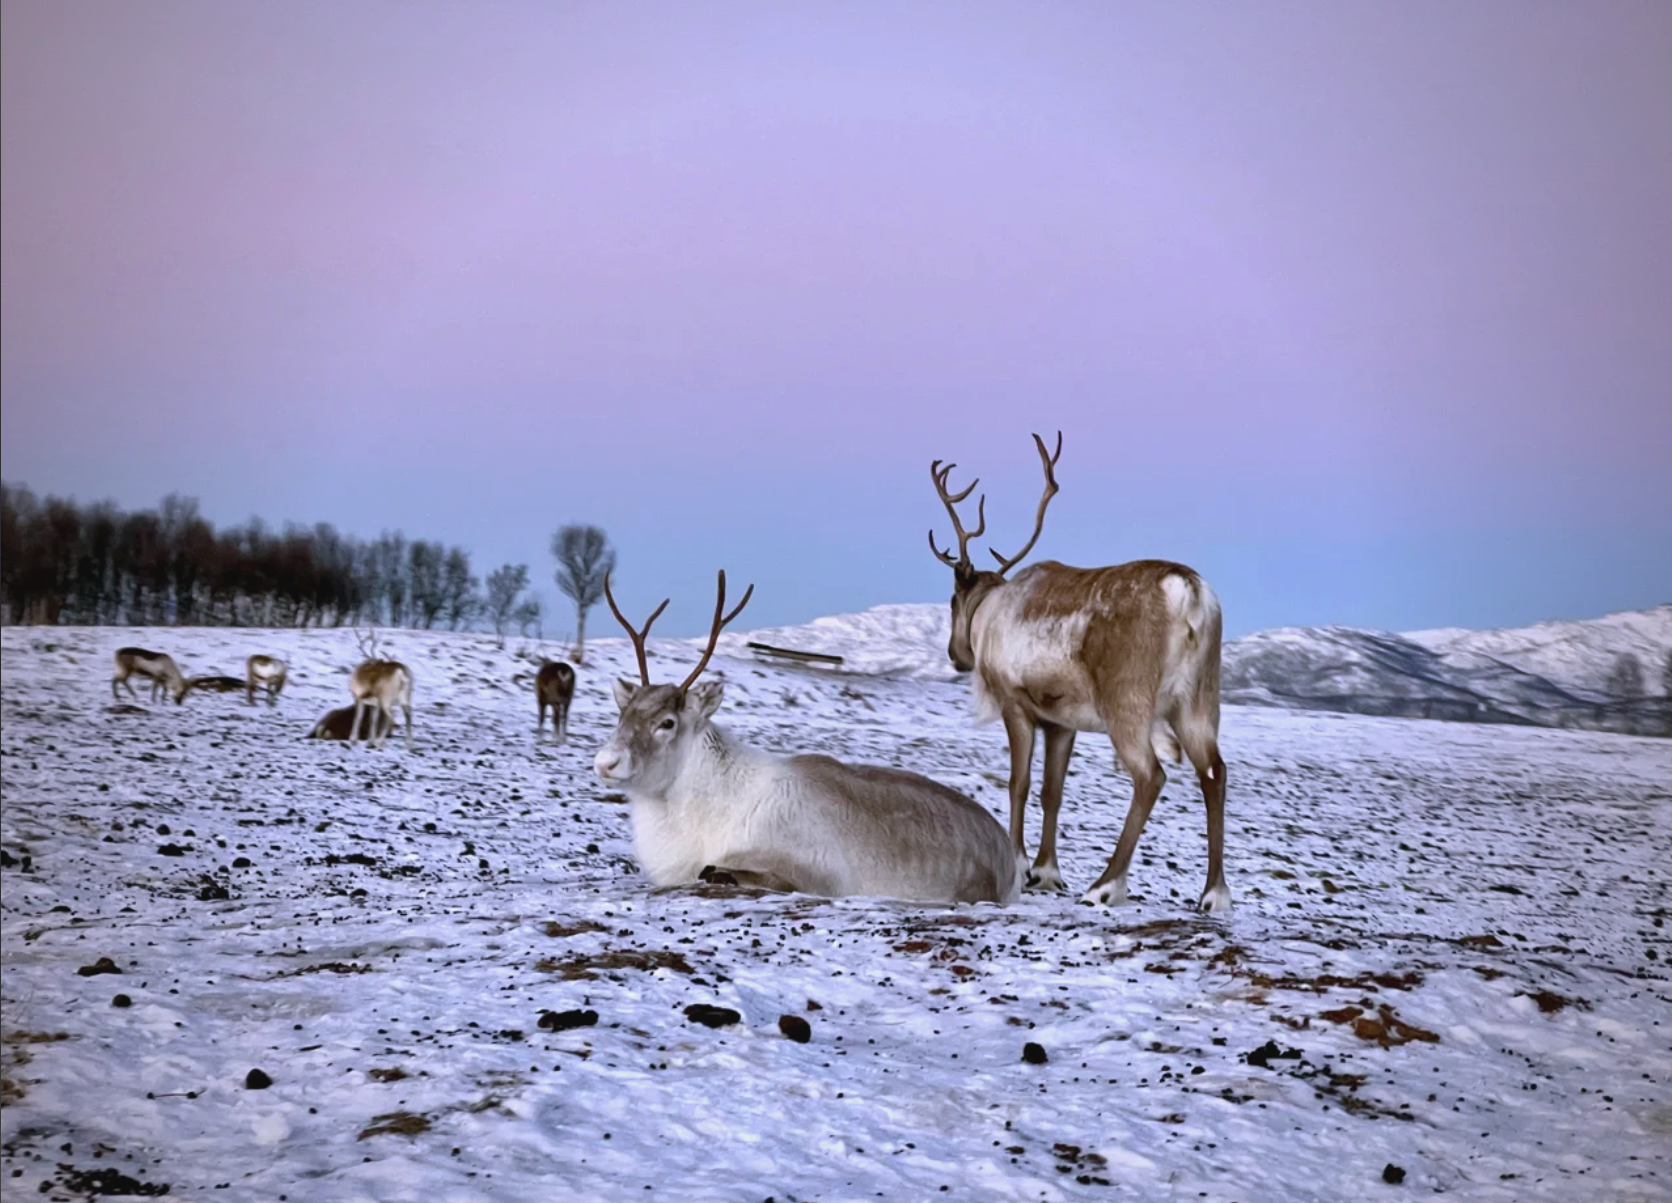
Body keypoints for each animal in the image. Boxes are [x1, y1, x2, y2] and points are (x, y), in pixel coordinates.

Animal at [595, 569, 1019, 905]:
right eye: (624, 712)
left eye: (667, 722)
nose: (606, 762)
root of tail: (1005, 848)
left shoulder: (813, 872)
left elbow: (717, 871)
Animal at [928, 432, 1230, 913]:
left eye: (953, 601)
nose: (956, 655)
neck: (989, 614)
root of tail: (1189, 592)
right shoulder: (1061, 721)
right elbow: (1053, 791)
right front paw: (1047, 873)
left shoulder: (1016, 704)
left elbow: (1019, 783)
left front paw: (1020, 865)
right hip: (1198, 701)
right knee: (1215, 773)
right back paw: (1215, 893)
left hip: (1127, 703)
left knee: (1150, 775)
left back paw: (1106, 885)